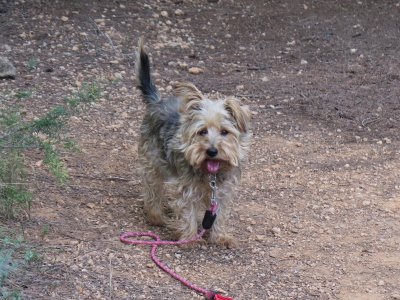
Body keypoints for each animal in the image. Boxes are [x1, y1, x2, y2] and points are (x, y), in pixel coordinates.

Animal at [136, 38, 252, 247]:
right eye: (202, 131)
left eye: (225, 132)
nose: (212, 151)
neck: (209, 173)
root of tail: (157, 101)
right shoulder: (185, 188)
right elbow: (186, 211)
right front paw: (189, 237)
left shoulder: (222, 192)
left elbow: (219, 214)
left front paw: (219, 236)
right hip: (152, 161)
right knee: (152, 188)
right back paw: (157, 216)